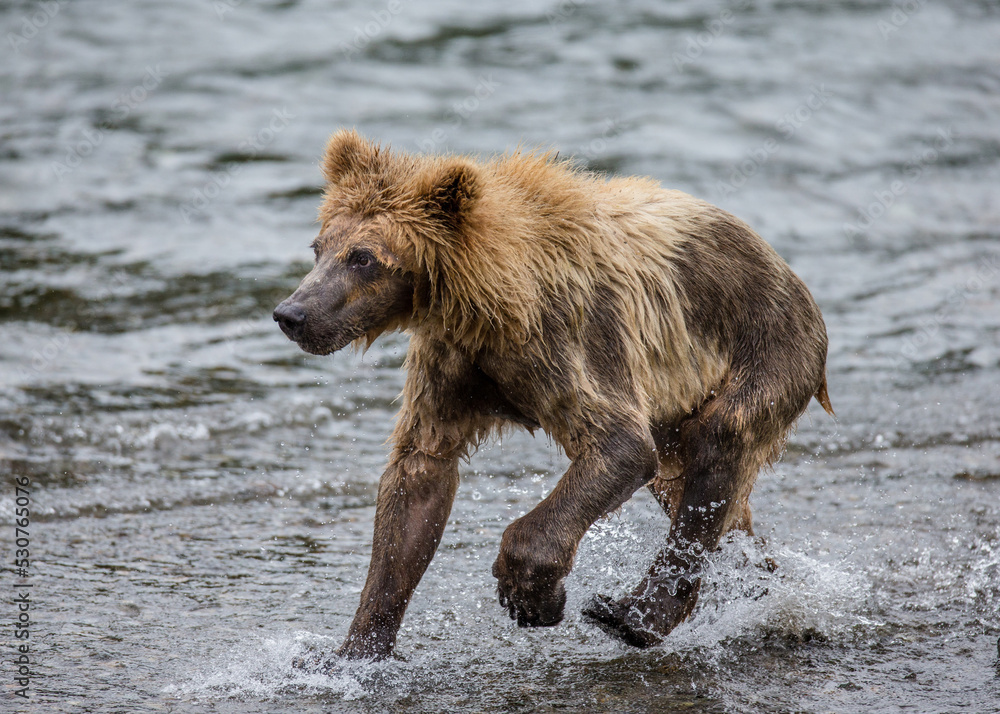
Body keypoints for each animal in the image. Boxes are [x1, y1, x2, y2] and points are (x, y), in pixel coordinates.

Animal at [273, 129, 833, 660]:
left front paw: (529, 595)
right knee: (695, 489)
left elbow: (620, 445)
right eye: (319, 246)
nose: (291, 313)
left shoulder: (567, 339)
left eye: (363, 258)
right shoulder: (453, 362)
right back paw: (760, 587)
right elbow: (417, 481)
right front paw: (353, 652)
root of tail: (787, 270)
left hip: (767, 347)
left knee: (719, 443)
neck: (485, 299)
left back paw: (635, 615)